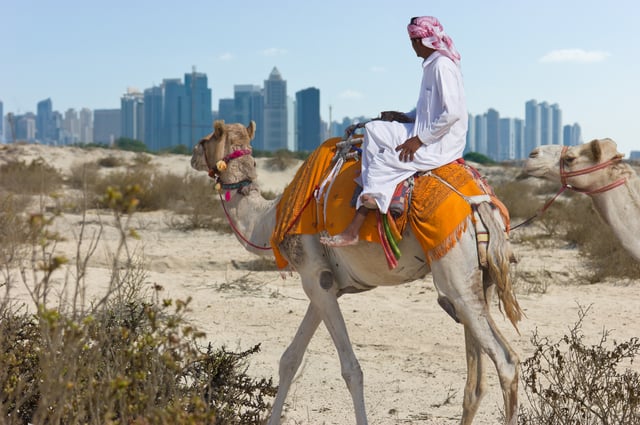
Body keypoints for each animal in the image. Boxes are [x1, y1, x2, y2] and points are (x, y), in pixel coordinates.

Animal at [191, 120, 522, 425]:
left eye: (206, 139)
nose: (193, 154)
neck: (271, 219)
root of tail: (482, 205)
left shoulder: (315, 279)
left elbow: (351, 369)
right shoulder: (324, 284)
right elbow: (290, 359)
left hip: (456, 277)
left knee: (506, 361)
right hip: (480, 280)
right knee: (475, 384)